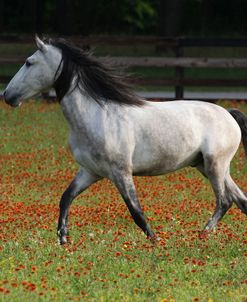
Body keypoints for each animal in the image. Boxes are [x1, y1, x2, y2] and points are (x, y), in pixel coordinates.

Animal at [3, 36, 247, 244]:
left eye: (29, 62)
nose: (7, 95)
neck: (96, 115)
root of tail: (228, 114)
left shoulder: (121, 172)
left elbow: (136, 211)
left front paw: (155, 242)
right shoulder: (90, 172)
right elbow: (66, 198)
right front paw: (63, 238)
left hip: (215, 165)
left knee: (224, 201)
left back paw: (203, 233)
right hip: (206, 166)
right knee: (240, 200)